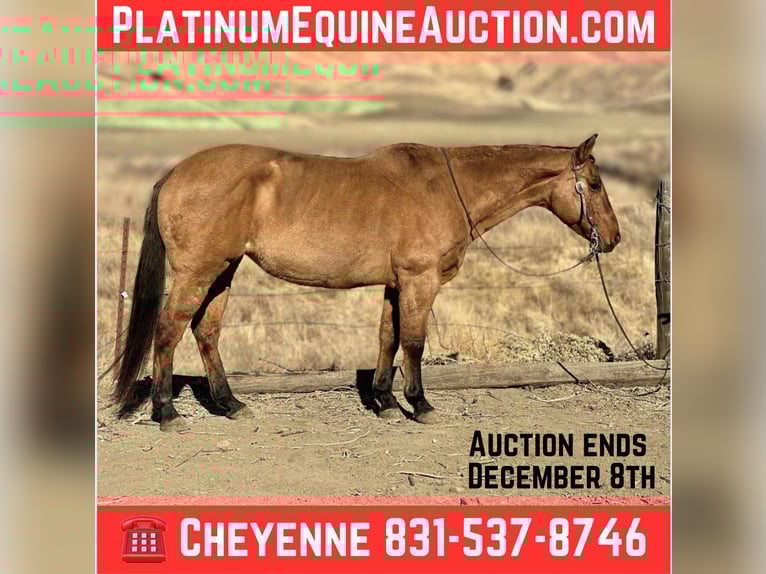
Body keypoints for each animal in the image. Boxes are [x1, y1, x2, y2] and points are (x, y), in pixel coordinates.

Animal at [112, 134, 620, 431]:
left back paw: (230, 403)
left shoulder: (397, 285)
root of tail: (175, 174)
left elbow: (387, 339)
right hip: (199, 271)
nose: (613, 238)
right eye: (594, 184)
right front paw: (420, 404)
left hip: (224, 270)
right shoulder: (419, 281)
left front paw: (386, 401)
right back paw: (167, 412)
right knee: (168, 331)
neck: (445, 189)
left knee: (206, 331)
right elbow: (413, 342)